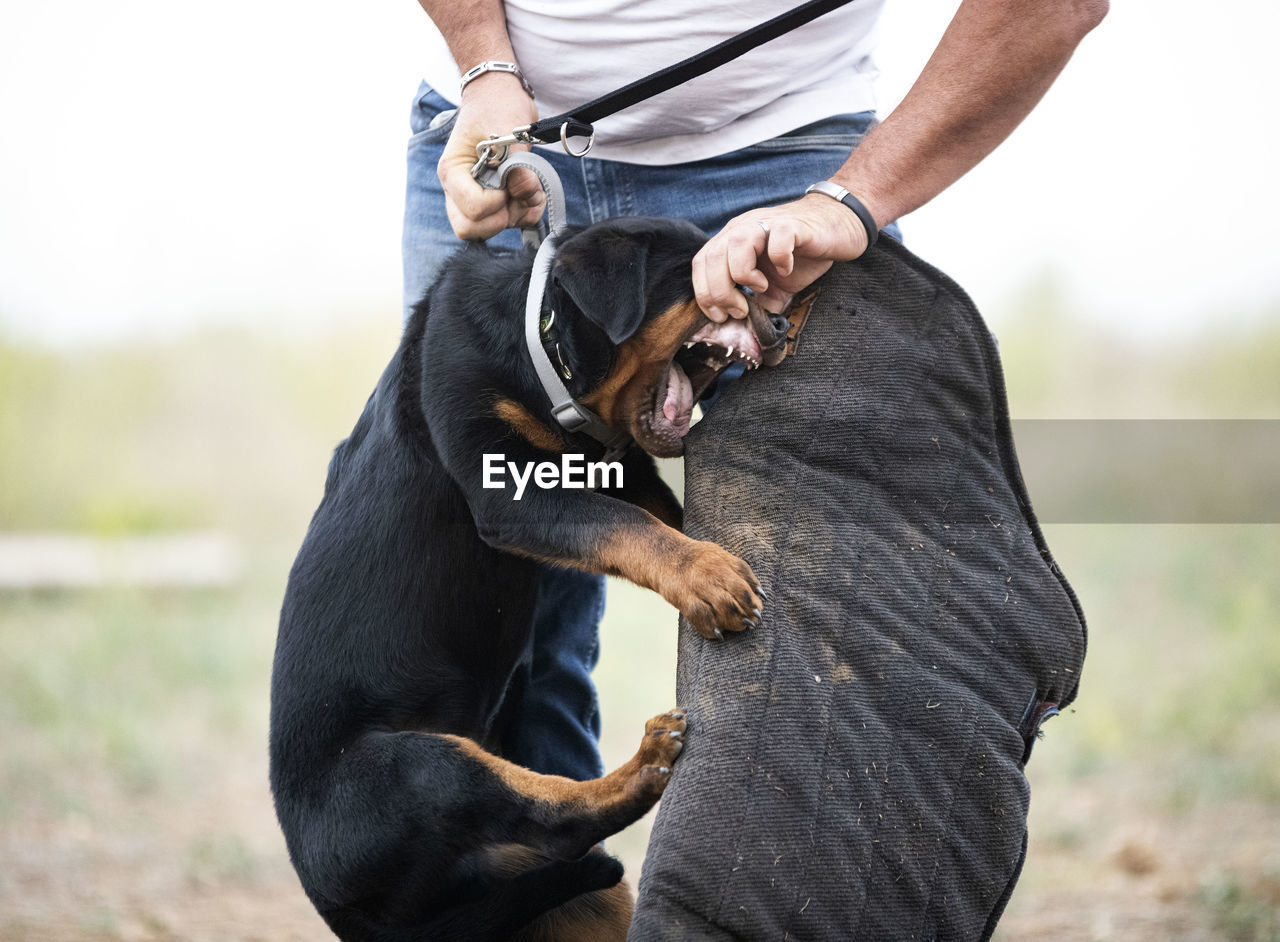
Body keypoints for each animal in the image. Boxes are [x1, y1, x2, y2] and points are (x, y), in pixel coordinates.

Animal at [271, 217, 788, 936]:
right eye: (716, 280)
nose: (783, 320)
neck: (541, 349)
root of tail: (354, 915)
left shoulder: (612, 470)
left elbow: (659, 516)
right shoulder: (510, 490)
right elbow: (626, 527)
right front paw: (708, 576)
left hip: (568, 895)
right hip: (409, 769)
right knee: (546, 816)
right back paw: (648, 762)